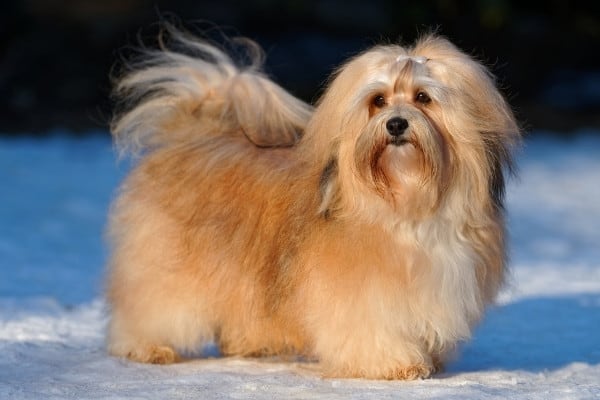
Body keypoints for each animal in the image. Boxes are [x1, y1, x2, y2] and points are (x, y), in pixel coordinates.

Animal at [106, 26, 520, 380]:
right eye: (378, 101)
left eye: (423, 97)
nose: (396, 124)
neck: (407, 204)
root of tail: (196, 134)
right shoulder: (362, 296)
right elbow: (372, 332)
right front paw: (395, 364)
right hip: (166, 264)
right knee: (150, 303)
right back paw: (149, 346)